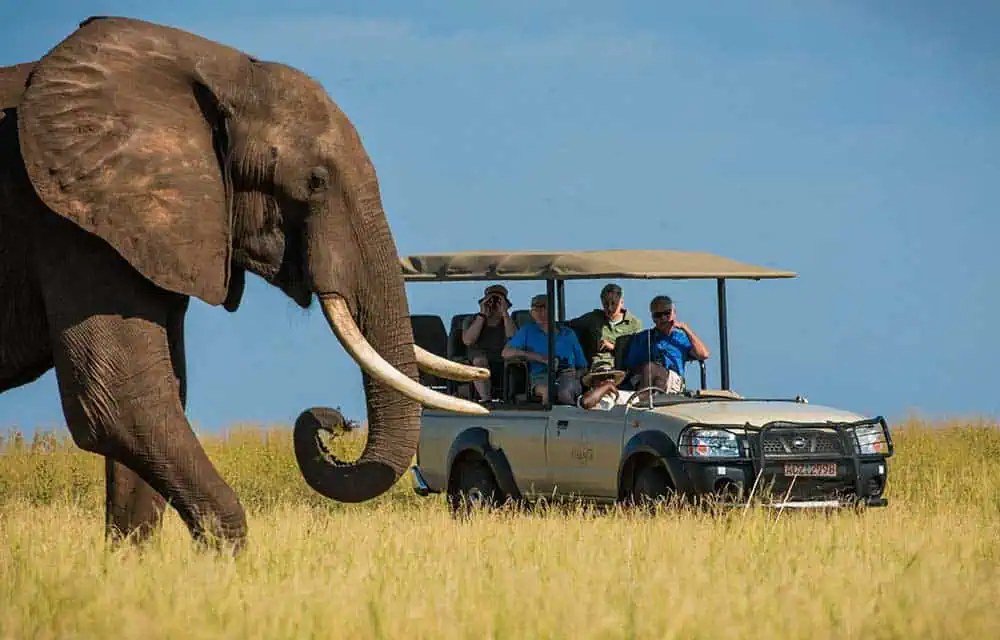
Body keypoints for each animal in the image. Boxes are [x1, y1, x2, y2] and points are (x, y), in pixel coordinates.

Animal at [0, 16, 489, 549]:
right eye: (315, 181)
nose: (336, 421)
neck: (212, 71)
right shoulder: (70, 223)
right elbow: (122, 402)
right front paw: (224, 560)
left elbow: (157, 400)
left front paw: (130, 565)